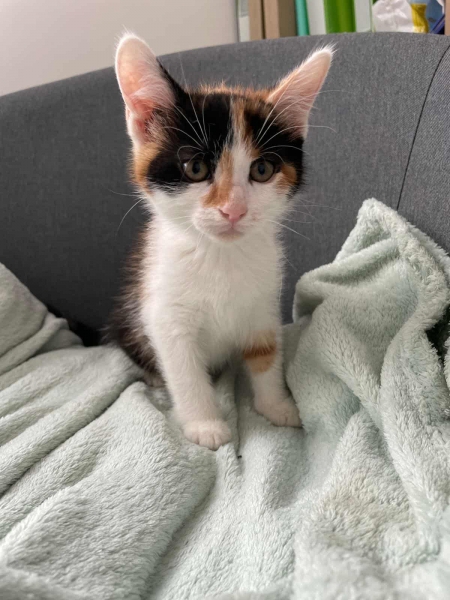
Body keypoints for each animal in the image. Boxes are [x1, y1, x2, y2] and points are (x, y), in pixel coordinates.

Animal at [109, 33, 332, 450]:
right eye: (195, 168)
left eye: (262, 169)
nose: (233, 210)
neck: (220, 255)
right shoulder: (163, 311)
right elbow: (184, 370)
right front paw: (204, 424)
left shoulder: (263, 304)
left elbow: (264, 351)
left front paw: (277, 406)